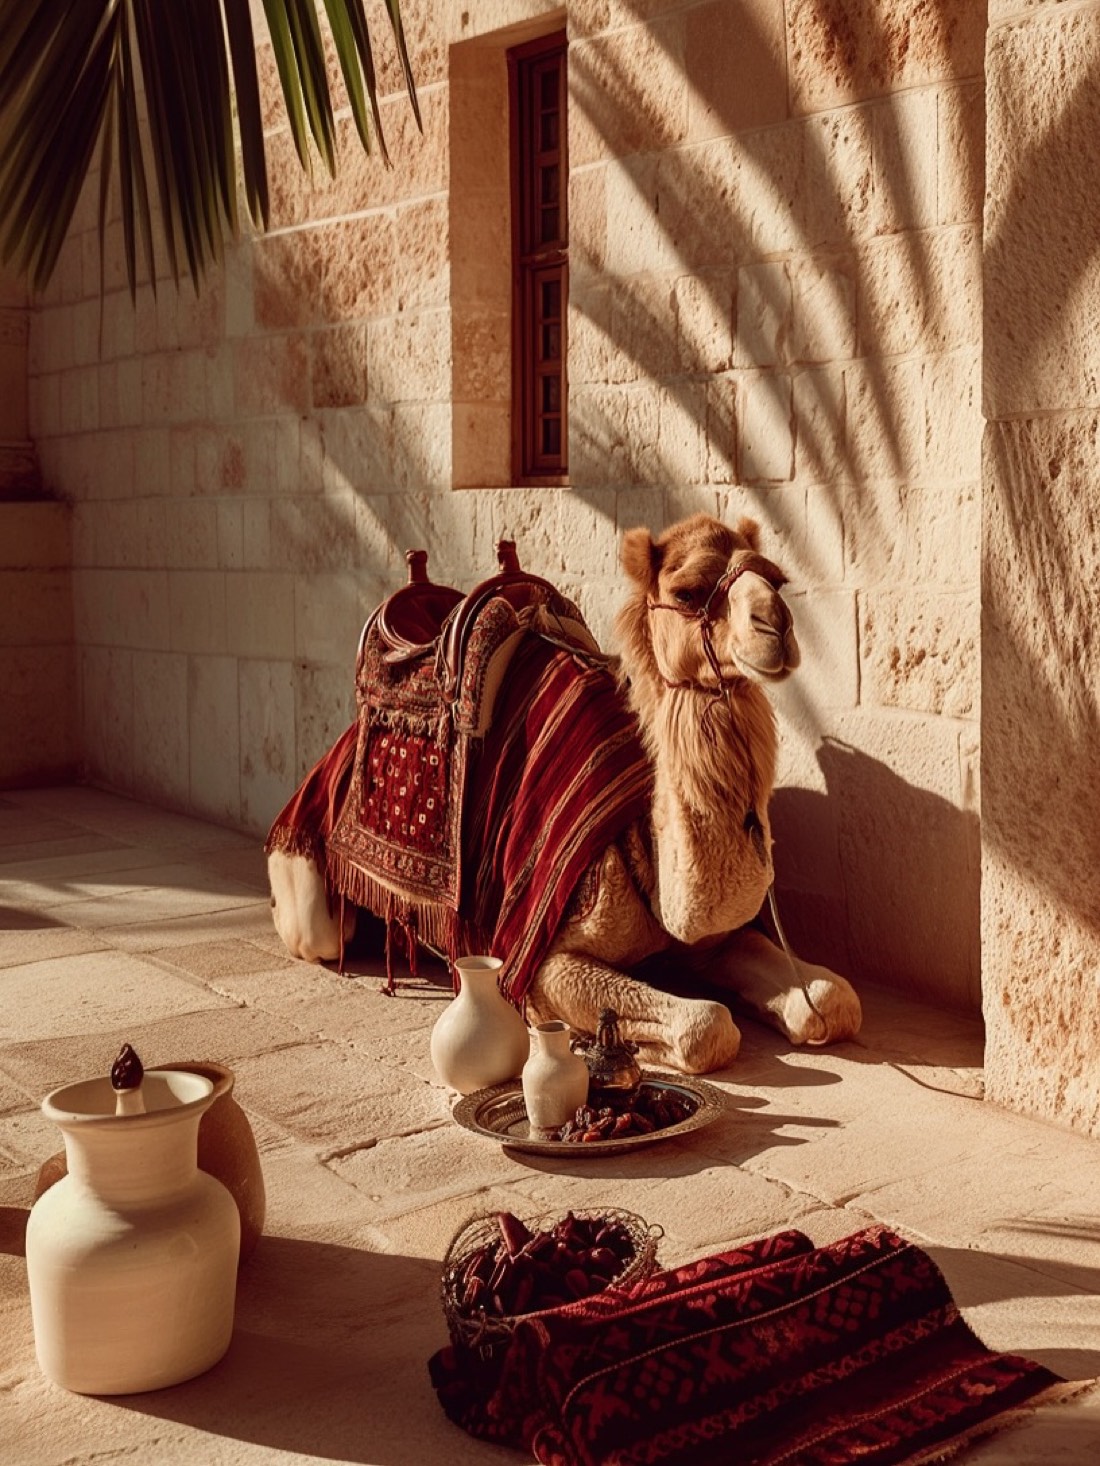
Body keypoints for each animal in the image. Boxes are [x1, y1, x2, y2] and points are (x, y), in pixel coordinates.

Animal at [268, 512, 862, 1072]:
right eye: (687, 592)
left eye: (777, 579)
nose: (776, 627)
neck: (644, 845)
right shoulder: (541, 963)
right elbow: (706, 1026)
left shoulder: (711, 943)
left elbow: (834, 999)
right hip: (309, 880)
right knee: (320, 931)